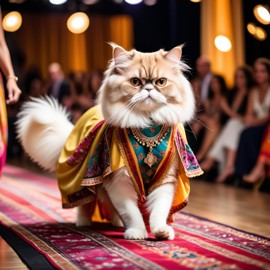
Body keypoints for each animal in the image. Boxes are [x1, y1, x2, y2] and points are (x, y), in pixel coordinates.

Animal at [17, 42, 198, 240]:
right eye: (135, 82)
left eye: (161, 82)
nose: (149, 90)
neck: (147, 128)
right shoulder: (118, 180)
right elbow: (131, 212)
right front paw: (137, 232)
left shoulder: (164, 179)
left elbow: (159, 210)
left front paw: (161, 232)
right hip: (83, 184)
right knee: (85, 204)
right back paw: (84, 223)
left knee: (112, 208)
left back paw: (117, 223)